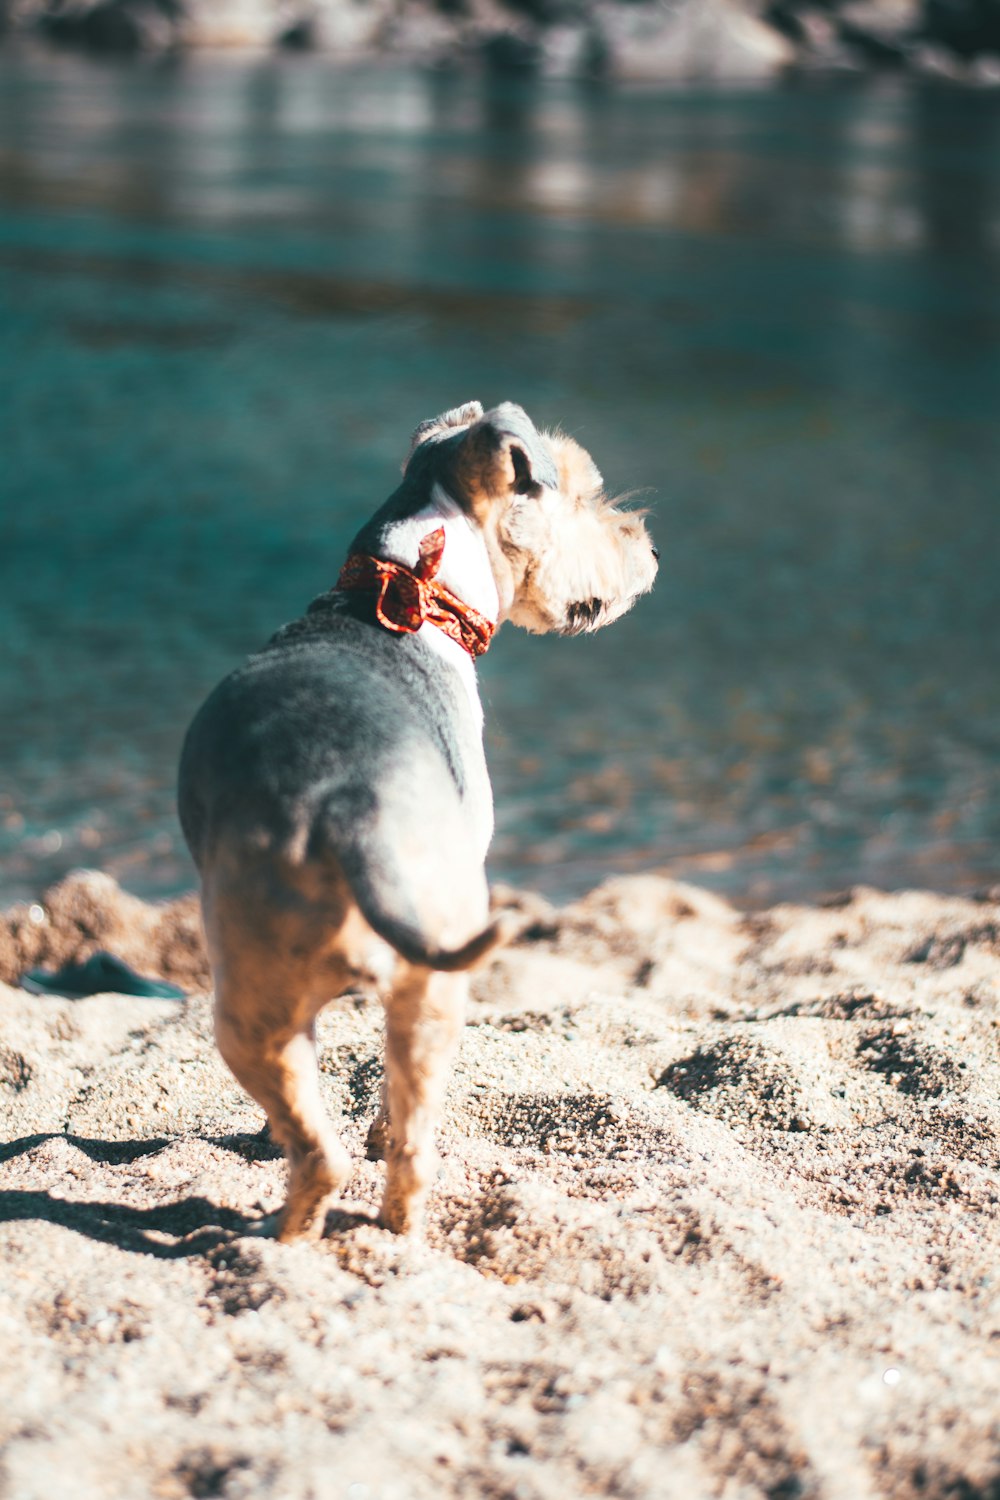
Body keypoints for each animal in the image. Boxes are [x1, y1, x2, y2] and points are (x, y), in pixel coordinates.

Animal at [179, 399, 659, 1242]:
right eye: (585, 494)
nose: (649, 546)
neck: (409, 584)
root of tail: (350, 803)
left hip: (256, 1006)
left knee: (328, 1150)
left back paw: (284, 1237)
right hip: (422, 982)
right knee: (397, 1143)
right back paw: (380, 1231)